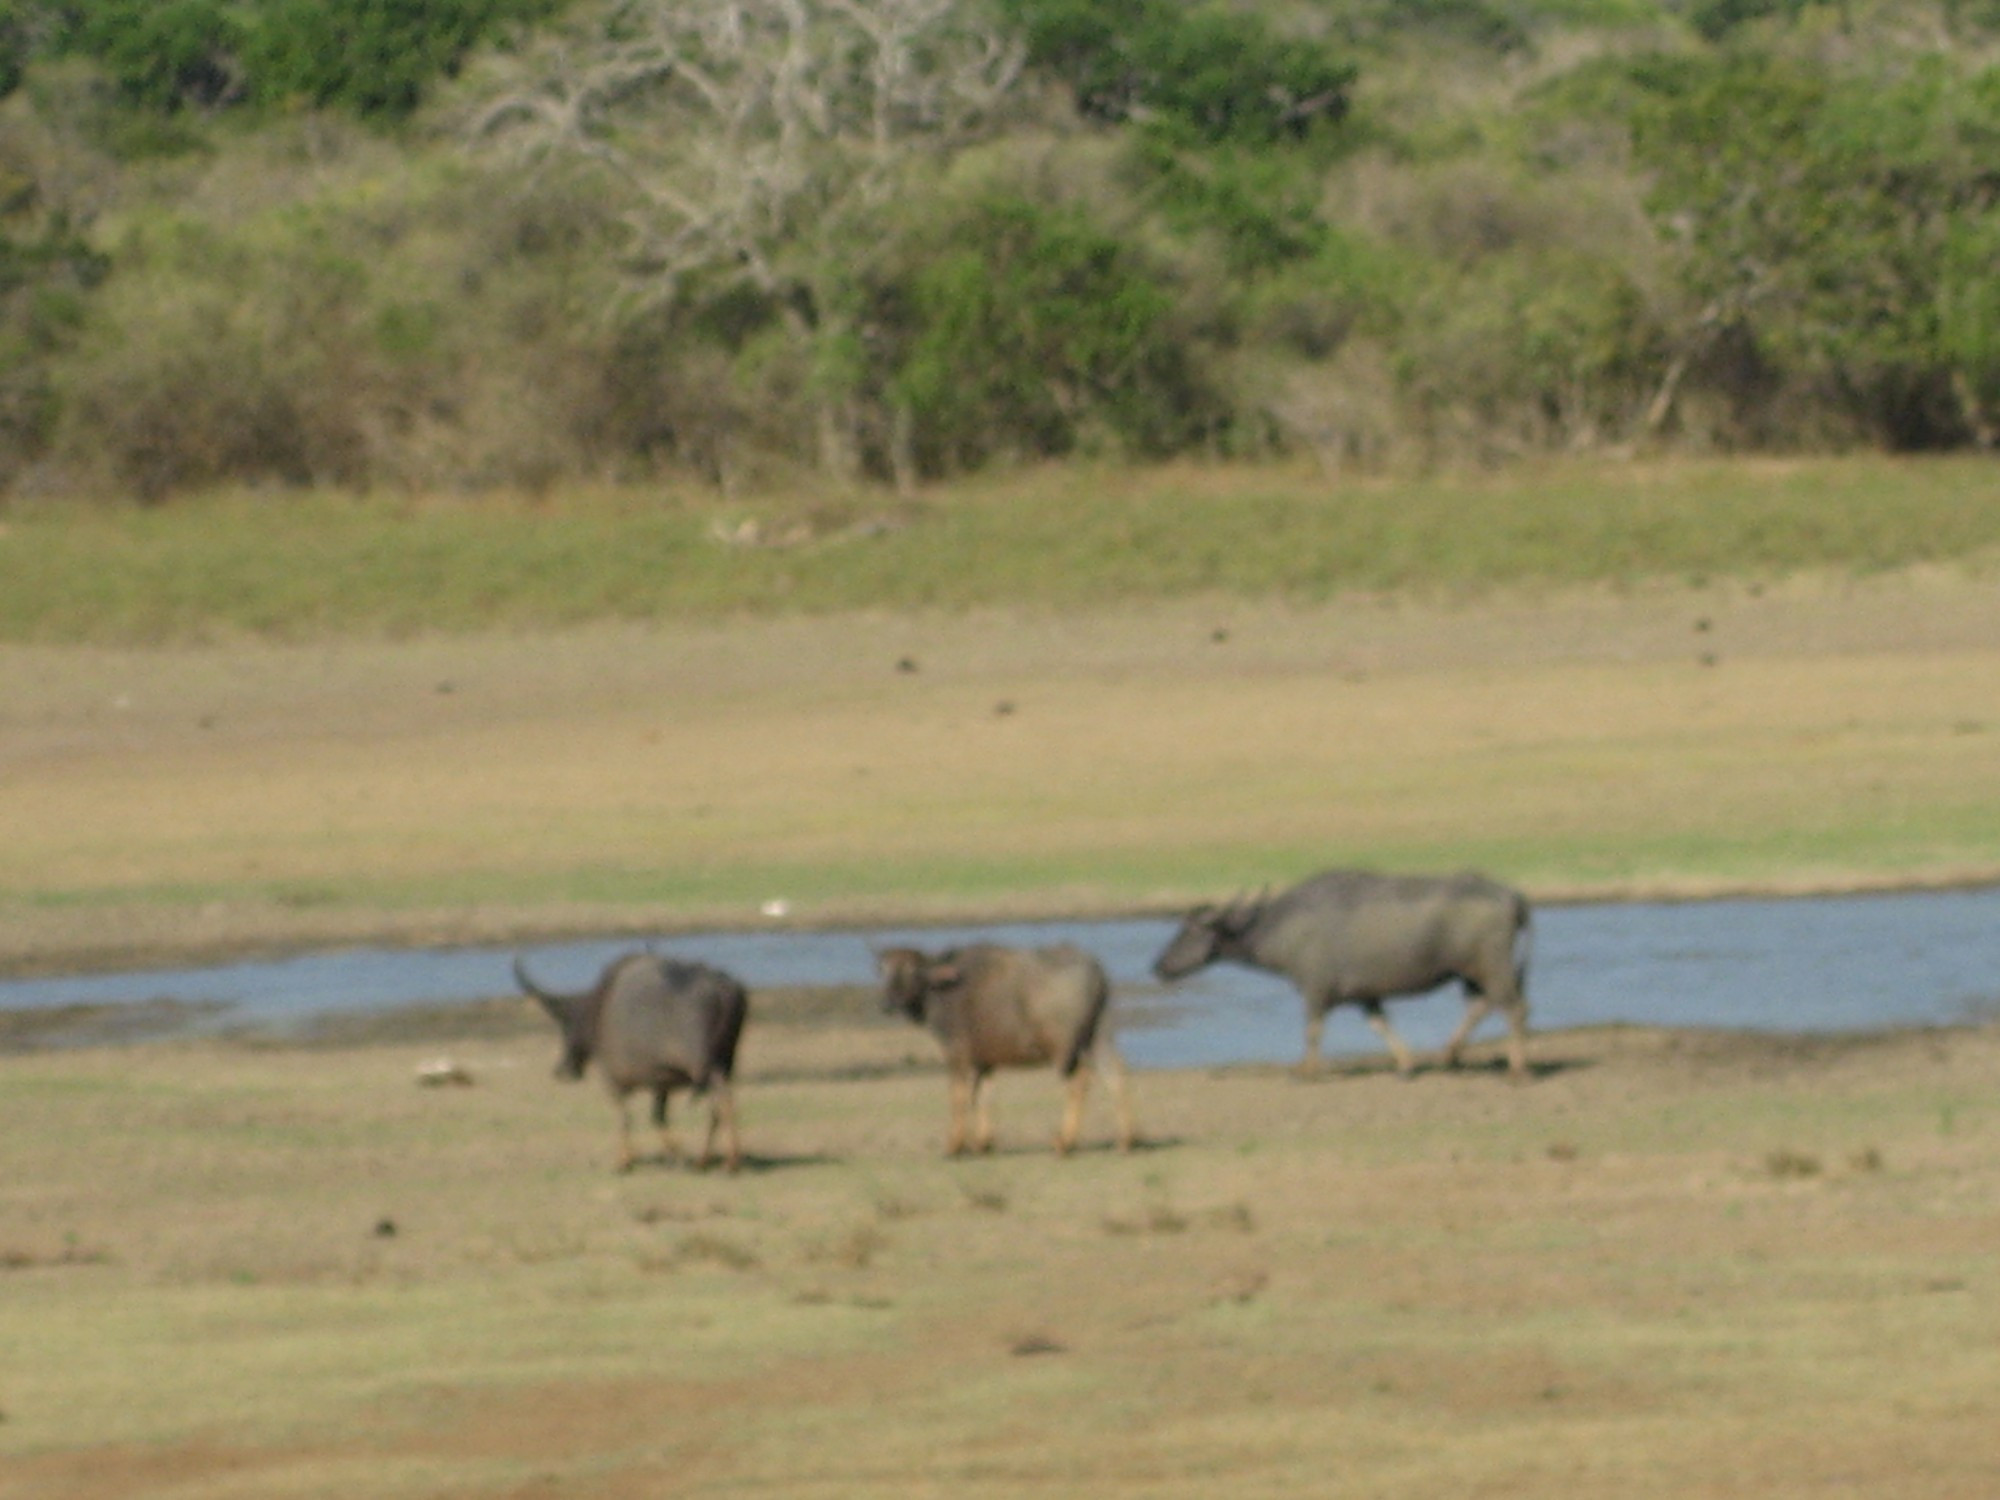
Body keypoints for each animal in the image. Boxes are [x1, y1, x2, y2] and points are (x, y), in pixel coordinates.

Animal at [516, 952, 752, 1176]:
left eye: (567, 1026)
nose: (561, 1070)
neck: (600, 1008)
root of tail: (725, 988)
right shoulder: (661, 1081)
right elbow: (657, 1117)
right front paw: (674, 1154)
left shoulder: (614, 1080)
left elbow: (625, 1117)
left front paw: (625, 1161)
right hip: (725, 1063)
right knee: (720, 1106)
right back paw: (709, 1160)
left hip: (706, 1068)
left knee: (722, 1103)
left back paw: (726, 1162)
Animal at [880, 940, 1144, 1160]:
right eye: (885, 971)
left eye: (912, 971)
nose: (889, 1002)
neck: (941, 990)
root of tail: (1094, 970)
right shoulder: (984, 1063)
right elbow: (983, 1096)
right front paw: (983, 1143)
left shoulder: (957, 1055)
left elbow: (959, 1097)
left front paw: (954, 1146)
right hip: (1099, 1035)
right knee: (1115, 1074)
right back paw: (1126, 1140)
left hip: (1061, 1048)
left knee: (1079, 1081)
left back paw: (1064, 1143)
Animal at [1152, 868, 1536, 1080]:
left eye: (1187, 933)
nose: (1159, 966)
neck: (1285, 924)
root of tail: (1512, 898)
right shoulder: (1365, 994)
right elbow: (1379, 1024)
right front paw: (1406, 1065)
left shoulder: (1314, 989)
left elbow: (1312, 1031)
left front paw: (1306, 1071)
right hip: (1470, 973)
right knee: (1482, 1006)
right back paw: (1449, 1054)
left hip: (1492, 966)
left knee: (1513, 1008)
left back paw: (1517, 1071)